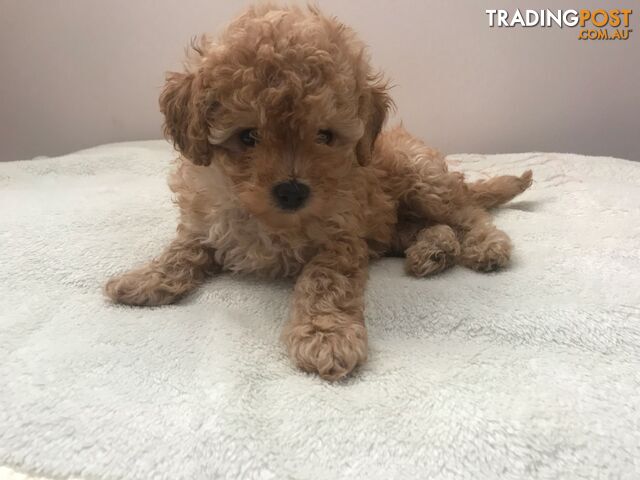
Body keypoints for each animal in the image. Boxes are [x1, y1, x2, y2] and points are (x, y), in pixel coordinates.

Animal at [105, 3, 528, 378]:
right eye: (248, 136)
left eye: (325, 135)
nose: (292, 191)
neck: (267, 218)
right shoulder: (205, 222)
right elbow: (182, 250)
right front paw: (144, 279)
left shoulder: (341, 239)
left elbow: (324, 282)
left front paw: (326, 336)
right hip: (393, 223)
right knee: (428, 227)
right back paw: (433, 252)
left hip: (424, 179)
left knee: (466, 211)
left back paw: (486, 246)